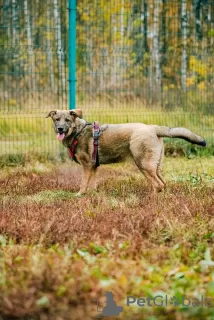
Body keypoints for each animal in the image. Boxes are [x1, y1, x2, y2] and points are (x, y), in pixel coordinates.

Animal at [46, 109, 206, 195]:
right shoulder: (93, 166)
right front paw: (92, 195)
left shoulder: (86, 166)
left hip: (144, 164)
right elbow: (92, 184)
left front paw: (80, 195)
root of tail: (153, 128)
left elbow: (83, 183)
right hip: (155, 166)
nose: (60, 129)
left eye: (67, 120)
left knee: (158, 185)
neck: (77, 132)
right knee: (163, 183)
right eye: (56, 119)